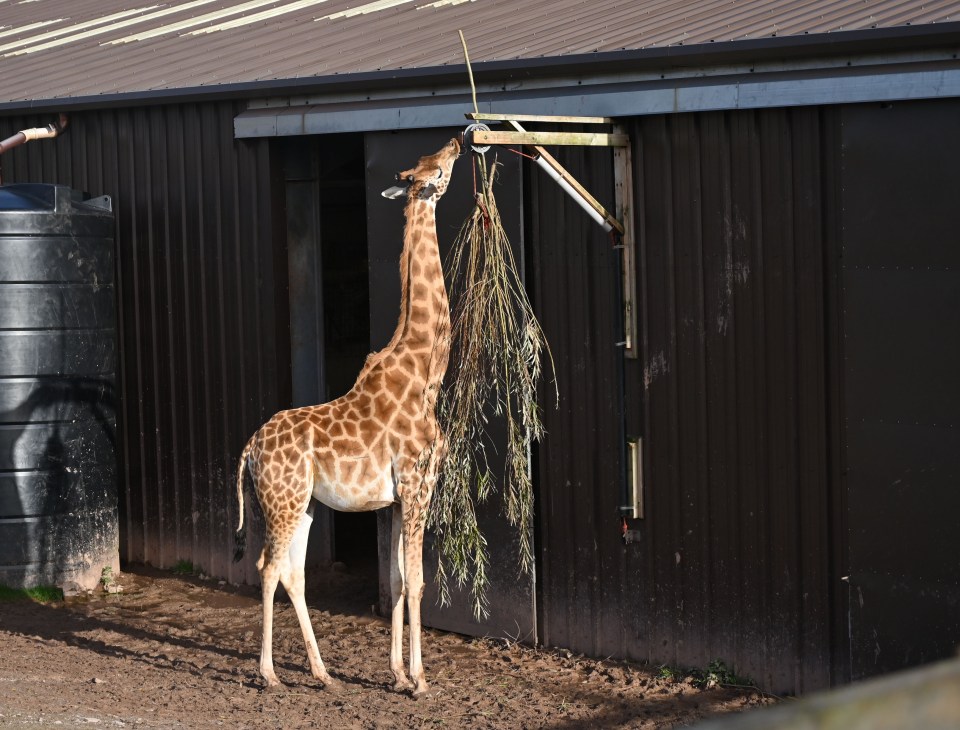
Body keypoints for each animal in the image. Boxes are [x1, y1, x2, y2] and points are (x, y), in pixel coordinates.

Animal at [231, 135, 460, 692]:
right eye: (437, 170)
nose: (458, 141)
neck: (425, 373)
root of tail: (248, 449)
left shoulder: (396, 499)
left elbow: (396, 579)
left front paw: (396, 674)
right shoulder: (418, 485)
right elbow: (418, 580)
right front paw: (420, 679)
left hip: (304, 504)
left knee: (292, 572)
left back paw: (323, 673)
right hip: (283, 501)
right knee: (268, 567)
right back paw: (270, 674)